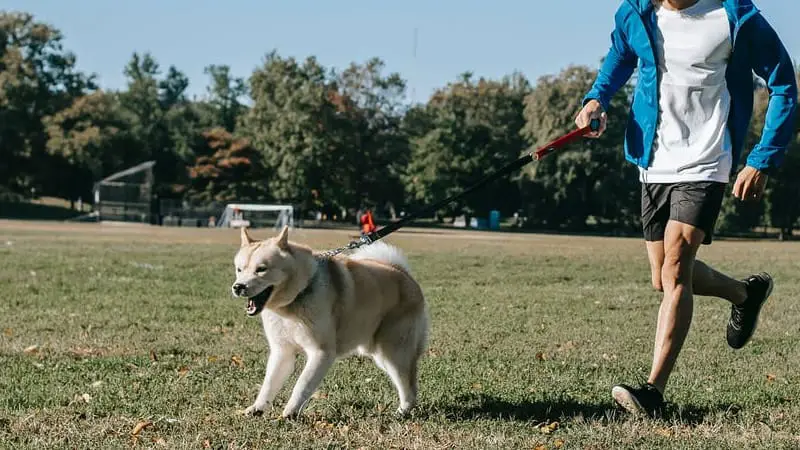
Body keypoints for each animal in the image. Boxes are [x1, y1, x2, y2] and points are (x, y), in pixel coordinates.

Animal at [231, 225, 428, 418]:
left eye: (261, 269)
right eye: (239, 269)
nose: (238, 287)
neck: (296, 297)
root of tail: (402, 272)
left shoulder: (321, 352)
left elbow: (302, 385)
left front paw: (290, 413)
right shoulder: (282, 352)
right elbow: (269, 384)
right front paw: (257, 408)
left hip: (394, 353)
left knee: (409, 387)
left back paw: (402, 412)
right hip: (380, 354)